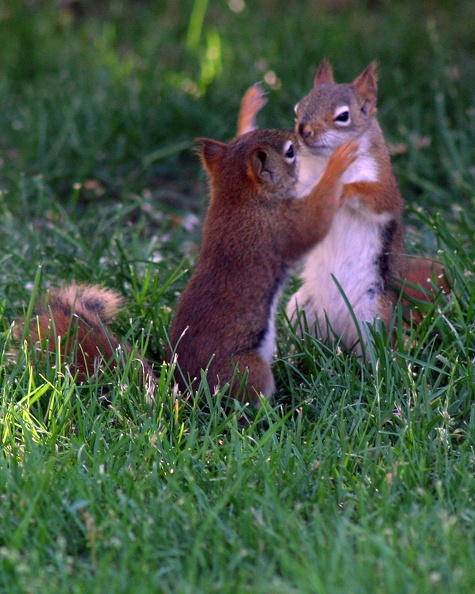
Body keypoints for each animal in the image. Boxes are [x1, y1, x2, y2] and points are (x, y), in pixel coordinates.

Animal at [168, 127, 358, 408]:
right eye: (289, 151)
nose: (298, 136)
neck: (238, 201)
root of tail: (188, 390)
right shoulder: (283, 225)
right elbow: (315, 220)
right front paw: (337, 165)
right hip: (248, 370)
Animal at [238, 62, 449, 355]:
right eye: (297, 109)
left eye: (343, 116)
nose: (303, 131)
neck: (323, 160)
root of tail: (339, 335)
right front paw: (249, 112)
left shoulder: (383, 182)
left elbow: (378, 198)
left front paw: (341, 188)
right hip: (300, 308)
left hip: (375, 314)